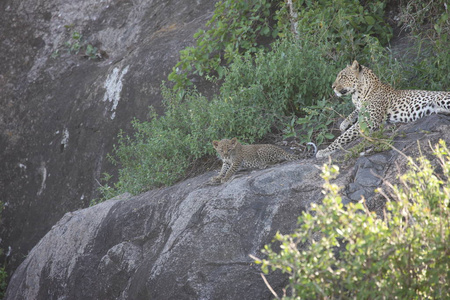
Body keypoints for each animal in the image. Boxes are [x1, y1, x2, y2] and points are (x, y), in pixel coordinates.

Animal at [316, 61, 450, 159]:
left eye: (342, 77)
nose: (332, 87)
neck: (359, 94)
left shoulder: (368, 121)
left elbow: (342, 137)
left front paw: (324, 151)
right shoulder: (361, 110)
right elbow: (354, 112)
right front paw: (344, 123)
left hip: (440, 98)